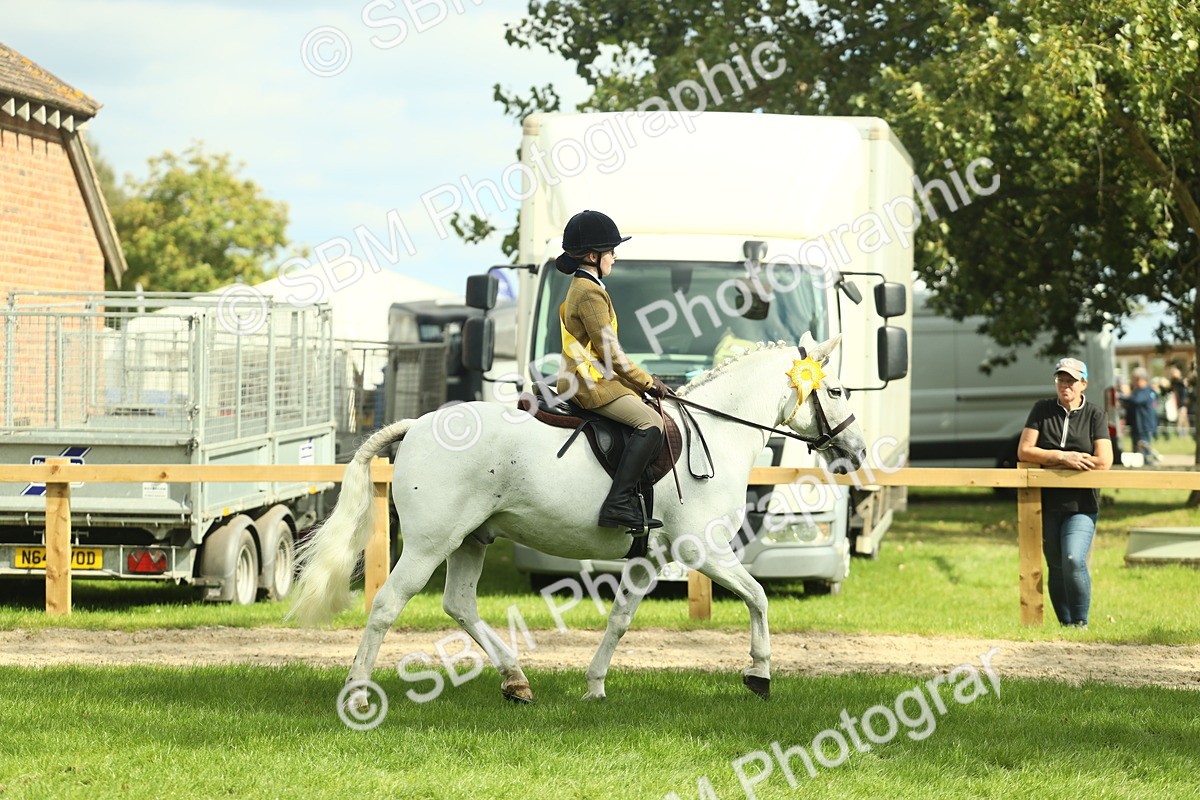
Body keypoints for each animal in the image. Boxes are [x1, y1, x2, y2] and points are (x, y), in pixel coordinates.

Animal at [289, 332, 866, 707]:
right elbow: (759, 597)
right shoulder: (704, 550)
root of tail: (417, 425)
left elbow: (620, 619)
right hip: (431, 544)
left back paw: (516, 681)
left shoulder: (648, 559)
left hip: (470, 539)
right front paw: (760, 675)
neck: (718, 431)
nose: (856, 451)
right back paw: (358, 694)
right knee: (388, 604)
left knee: (459, 604)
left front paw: (594, 686)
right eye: (837, 390)